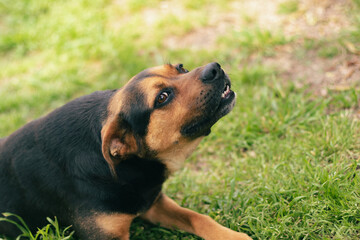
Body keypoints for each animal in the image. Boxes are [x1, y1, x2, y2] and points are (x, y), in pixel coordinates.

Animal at [0, 62, 252, 239]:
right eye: (162, 98)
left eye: (181, 68)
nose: (215, 68)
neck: (124, 167)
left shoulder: (153, 204)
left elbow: (198, 218)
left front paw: (232, 236)